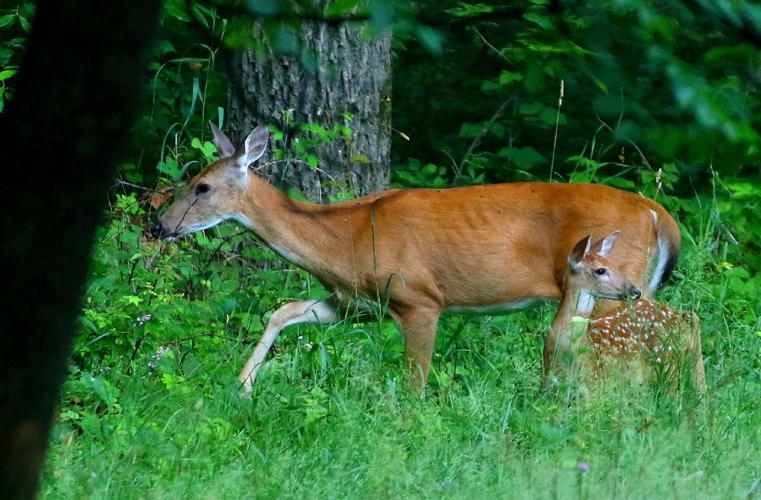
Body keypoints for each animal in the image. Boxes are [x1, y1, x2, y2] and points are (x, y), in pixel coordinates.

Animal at [150, 123, 682, 395]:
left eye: (201, 186)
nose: (160, 225)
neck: (345, 242)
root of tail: (659, 215)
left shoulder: (420, 298)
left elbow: (414, 380)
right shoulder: (355, 303)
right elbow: (282, 311)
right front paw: (242, 386)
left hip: (614, 285)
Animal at [553, 224, 706, 391]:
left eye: (613, 265)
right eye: (600, 270)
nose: (635, 291)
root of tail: (677, 315)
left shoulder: (595, 387)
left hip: (667, 367)